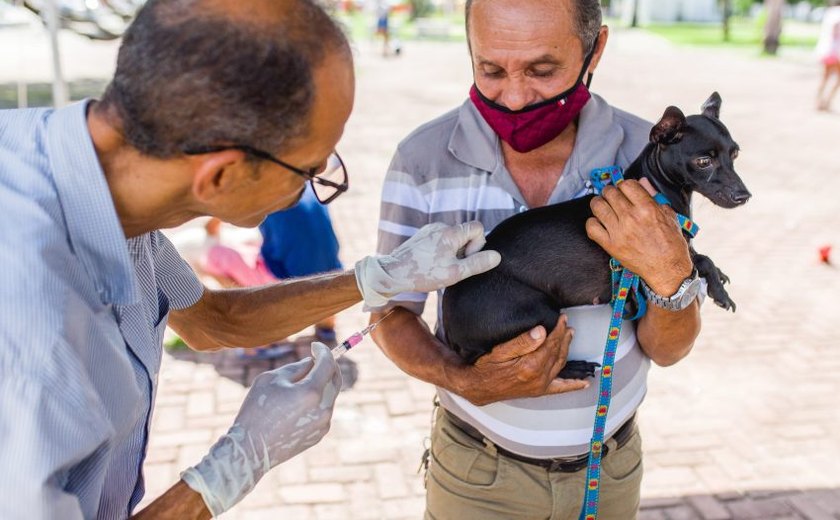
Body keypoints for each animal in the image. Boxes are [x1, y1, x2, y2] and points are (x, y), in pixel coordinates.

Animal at [442, 93, 752, 378]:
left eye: (735, 154)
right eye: (703, 161)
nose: (744, 196)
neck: (657, 190)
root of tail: (451, 332)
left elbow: (701, 257)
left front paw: (718, 280)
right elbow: (701, 260)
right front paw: (720, 290)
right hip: (540, 312)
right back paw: (572, 369)